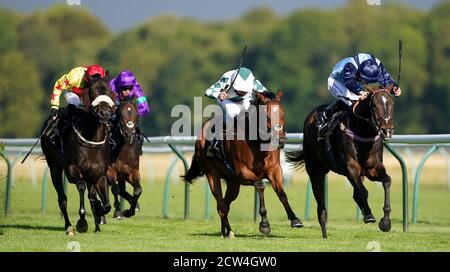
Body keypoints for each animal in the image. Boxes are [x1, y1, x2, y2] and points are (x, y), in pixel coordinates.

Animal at [40, 73, 116, 235]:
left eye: (109, 92)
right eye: (92, 92)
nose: (105, 114)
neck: (92, 140)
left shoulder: (99, 175)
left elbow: (105, 204)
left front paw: (98, 212)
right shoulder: (72, 170)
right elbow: (81, 187)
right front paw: (82, 222)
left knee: (90, 195)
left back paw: (96, 223)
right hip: (54, 166)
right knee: (62, 198)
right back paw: (69, 227)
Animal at [182, 90, 302, 237]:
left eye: (283, 113)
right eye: (266, 115)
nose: (281, 140)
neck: (257, 144)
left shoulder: (274, 170)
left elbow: (282, 194)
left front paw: (295, 219)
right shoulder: (242, 173)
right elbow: (260, 185)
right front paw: (264, 224)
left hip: (233, 182)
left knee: (226, 204)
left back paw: (225, 231)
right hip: (212, 174)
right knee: (221, 205)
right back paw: (230, 232)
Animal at [286, 85, 396, 238]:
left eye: (392, 103)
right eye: (374, 105)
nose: (387, 131)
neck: (363, 133)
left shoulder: (372, 169)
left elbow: (386, 181)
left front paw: (385, 222)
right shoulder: (350, 167)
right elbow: (363, 191)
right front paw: (369, 215)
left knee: (356, 193)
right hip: (315, 170)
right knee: (320, 202)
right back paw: (323, 231)